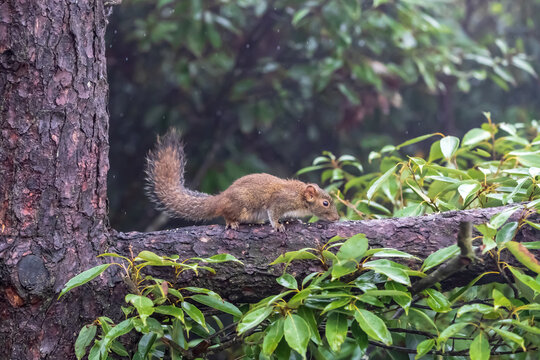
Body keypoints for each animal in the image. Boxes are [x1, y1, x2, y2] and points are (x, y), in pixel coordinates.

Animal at [143, 129, 338, 231]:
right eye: (325, 203)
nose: (337, 218)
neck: (299, 196)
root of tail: (221, 198)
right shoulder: (280, 200)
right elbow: (274, 212)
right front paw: (277, 225)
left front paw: (294, 221)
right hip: (241, 204)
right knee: (226, 214)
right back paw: (232, 222)